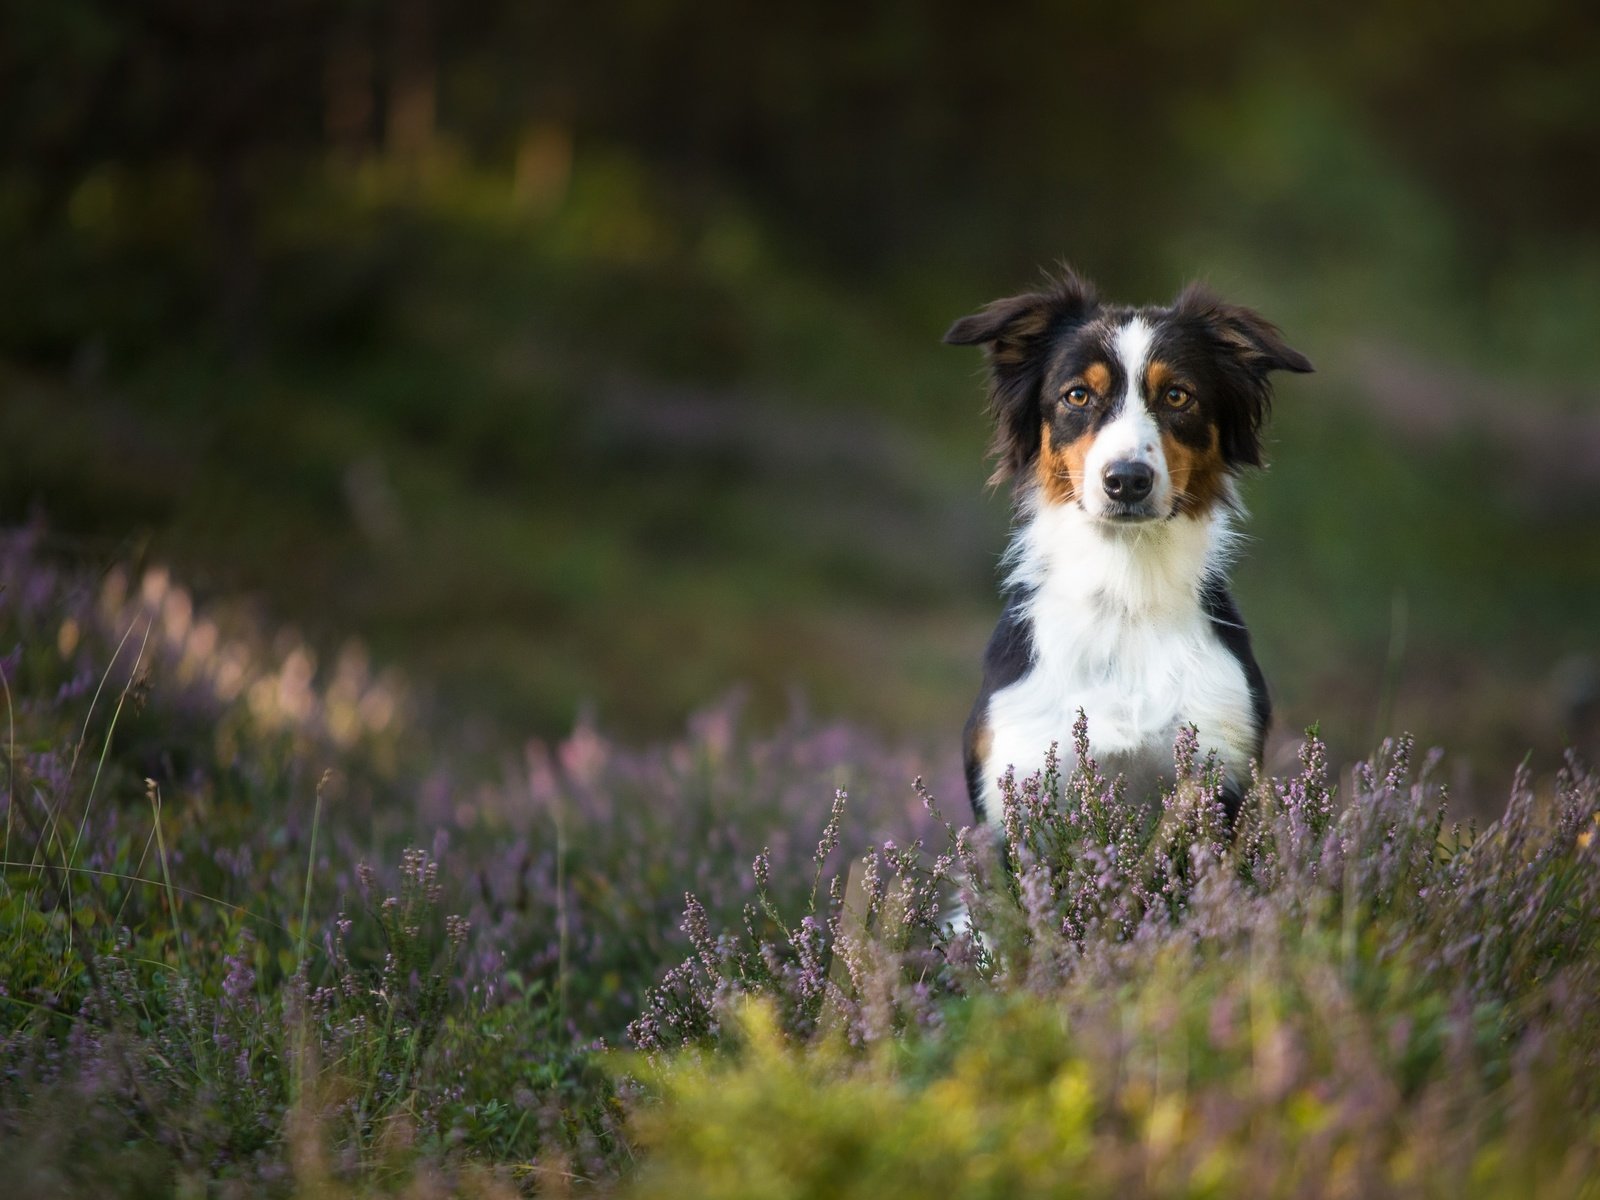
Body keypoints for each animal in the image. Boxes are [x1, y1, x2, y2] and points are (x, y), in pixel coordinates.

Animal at [940, 267, 1305, 825]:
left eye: (1177, 396)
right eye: (1076, 396)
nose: (1127, 480)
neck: (1125, 590)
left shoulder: (1220, 768)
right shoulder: (1016, 785)